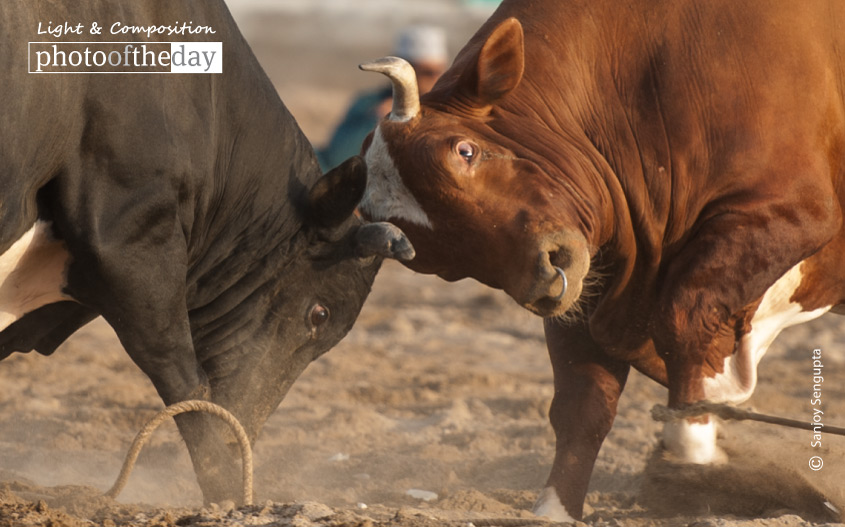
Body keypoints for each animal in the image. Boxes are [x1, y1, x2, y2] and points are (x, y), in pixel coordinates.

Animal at [356, 0, 844, 520]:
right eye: (433, 258)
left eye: (464, 151)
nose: (544, 278)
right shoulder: (588, 278)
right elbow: (581, 402)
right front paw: (554, 509)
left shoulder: (791, 212)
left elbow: (685, 317)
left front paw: (692, 457)